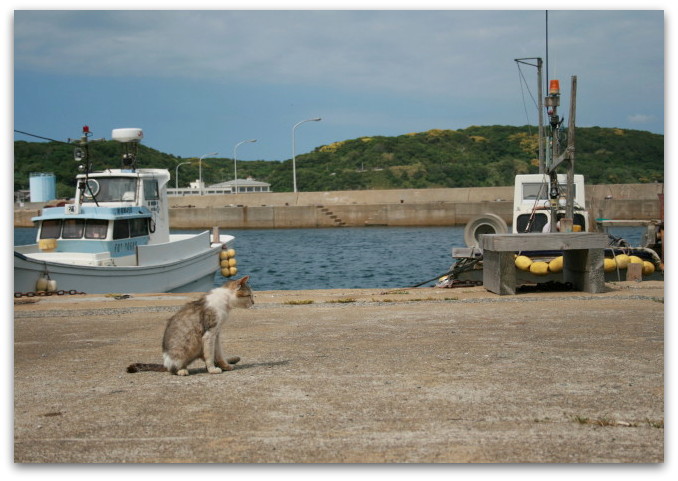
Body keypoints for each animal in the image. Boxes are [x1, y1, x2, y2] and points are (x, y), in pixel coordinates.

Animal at [127, 274, 255, 376]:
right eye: (249, 295)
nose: (254, 303)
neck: (225, 301)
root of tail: (165, 363)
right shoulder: (209, 334)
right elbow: (210, 354)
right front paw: (212, 369)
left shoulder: (216, 334)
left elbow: (218, 353)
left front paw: (224, 365)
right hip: (182, 352)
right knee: (173, 369)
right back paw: (182, 370)